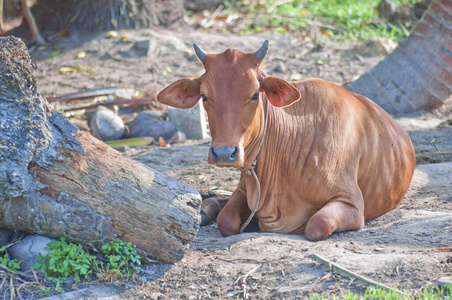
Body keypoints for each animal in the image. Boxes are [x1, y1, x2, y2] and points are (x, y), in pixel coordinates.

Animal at [156, 41, 416, 240]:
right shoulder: (244, 190)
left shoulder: (351, 202)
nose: (223, 153)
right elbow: (226, 221)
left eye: (254, 94)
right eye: (204, 96)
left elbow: (317, 225)